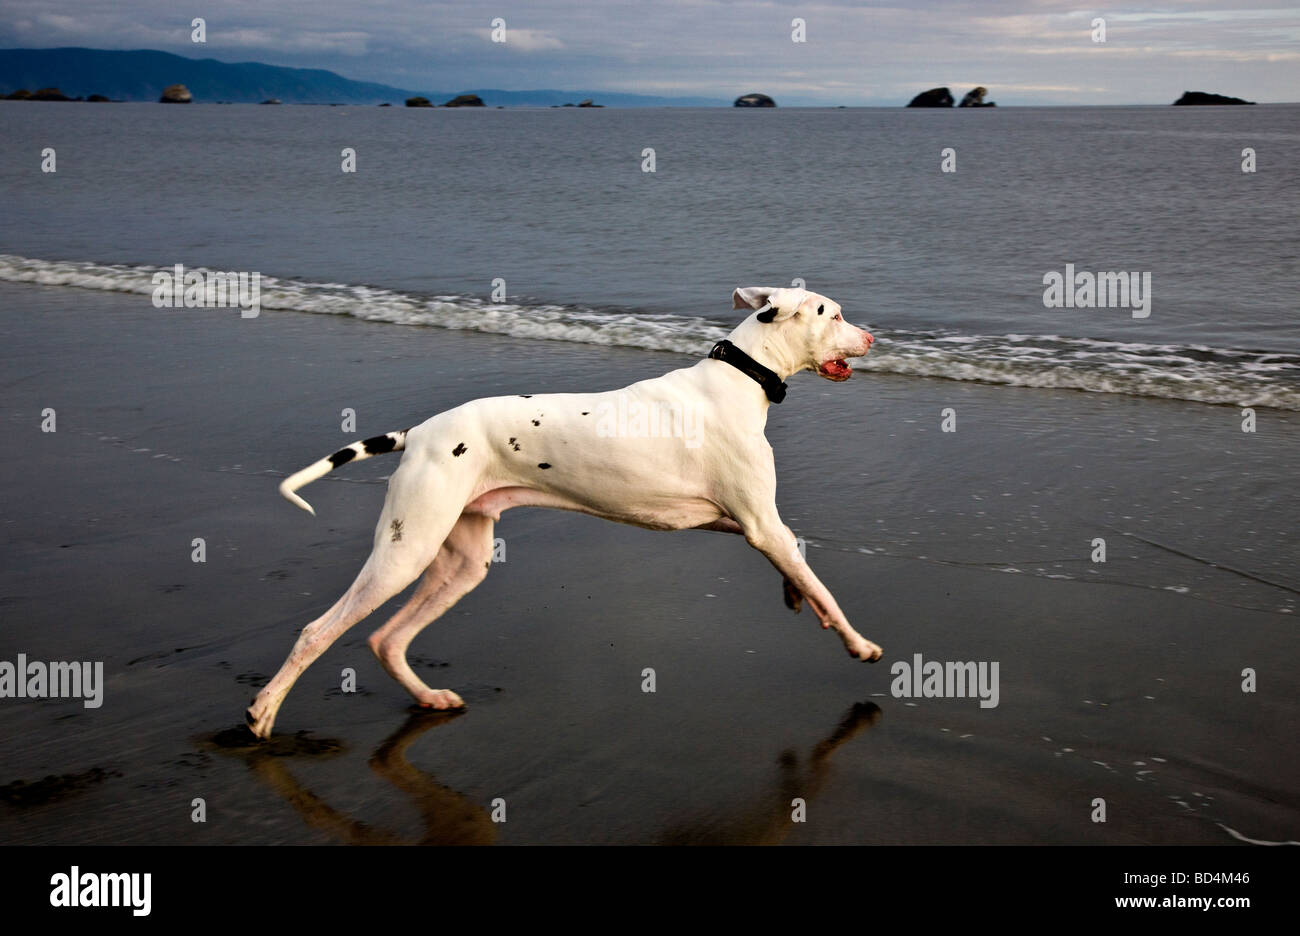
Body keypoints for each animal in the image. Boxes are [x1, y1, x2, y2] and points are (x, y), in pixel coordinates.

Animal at [244, 284, 883, 738]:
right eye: (832, 314)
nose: (874, 338)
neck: (740, 377)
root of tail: (419, 432)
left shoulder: (739, 522)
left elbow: (796, 559)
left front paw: (794, 594)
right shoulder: (757, 523)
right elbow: (822, 584)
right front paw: (857, 643)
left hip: (461, 565)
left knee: (387, 639)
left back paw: (426, 697)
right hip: (407, 552)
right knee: (318, 632)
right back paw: (263, 711)